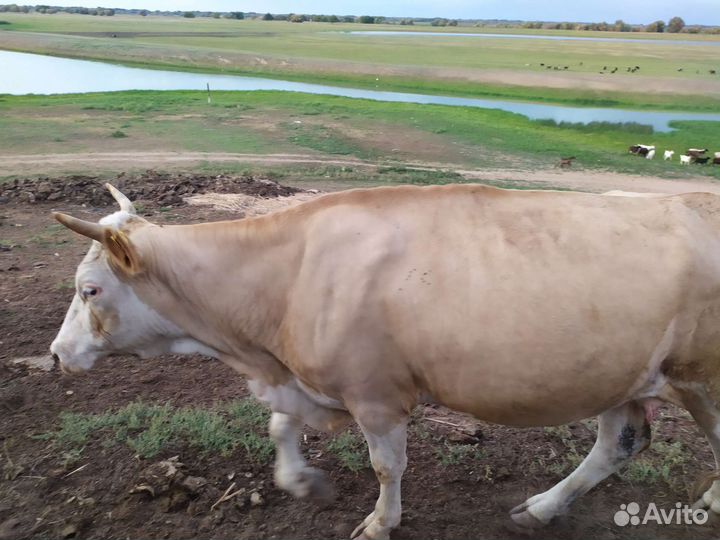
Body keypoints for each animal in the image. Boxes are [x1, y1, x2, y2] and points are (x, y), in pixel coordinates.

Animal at [51, 184, 720, 539]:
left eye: (90, 289)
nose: (57, 354)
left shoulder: (375, 392)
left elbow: (385, 466)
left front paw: (379, 521)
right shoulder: (303, 378)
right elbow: (280, 426)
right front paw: (300, 480)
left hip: (700, 378)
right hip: (624, 375)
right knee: (618, 444)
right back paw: (542, 508)